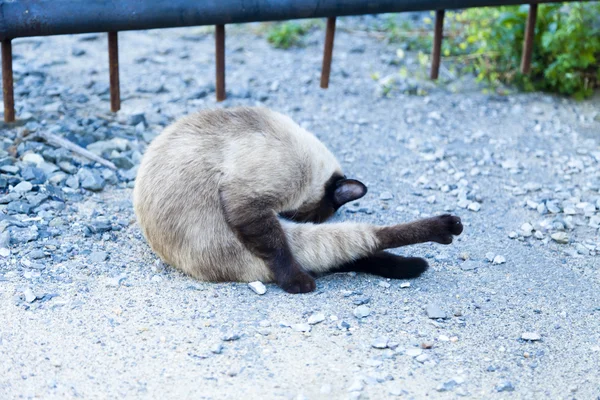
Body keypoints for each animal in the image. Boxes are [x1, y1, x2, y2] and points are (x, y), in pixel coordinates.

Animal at [134, 106, 462, 294]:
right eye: (318, 214)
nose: (303, 218)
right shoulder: (249, 203)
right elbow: (278, 250)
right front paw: (296, 283)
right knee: (355, 243)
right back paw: (447, 229)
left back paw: (424, 255)